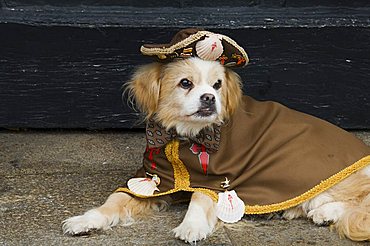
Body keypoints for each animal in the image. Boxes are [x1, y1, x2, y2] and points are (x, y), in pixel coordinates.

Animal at [63, 56, 370, 243]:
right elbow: (113, 202)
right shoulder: (152, 180)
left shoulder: (218, 179)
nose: (209, 98)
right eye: (185, 83)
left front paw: (191, 226)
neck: (182, 137)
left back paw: (325, 211)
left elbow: (200, 197)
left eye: (217, 84)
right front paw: (84, 220)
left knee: (359, 199)